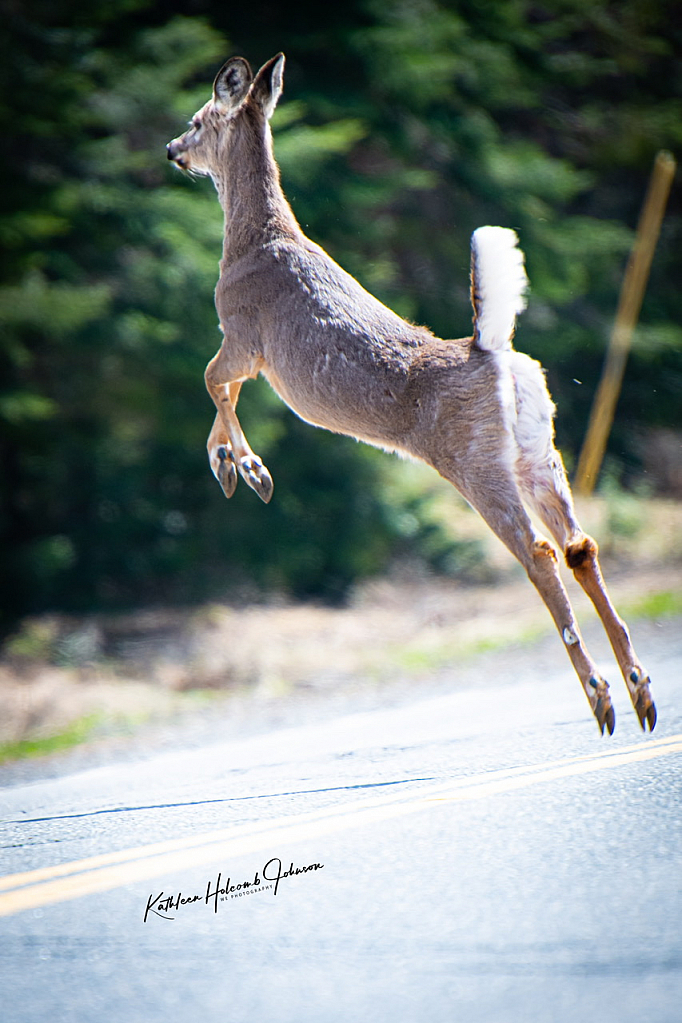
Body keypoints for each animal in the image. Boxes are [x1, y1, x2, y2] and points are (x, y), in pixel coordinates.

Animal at [166, 51, 654, 736]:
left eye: (197, 120)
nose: (171, 150)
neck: (254, 238)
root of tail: (491, 352)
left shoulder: (242, 332)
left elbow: (212, 382)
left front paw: (249, 470)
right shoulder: (251, 356)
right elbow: (221, 394)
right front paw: (230, 465)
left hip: (476, 462)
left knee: (539, 554)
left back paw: (602, 696)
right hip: (539, 450)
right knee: (580, 546)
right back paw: (640, 693)